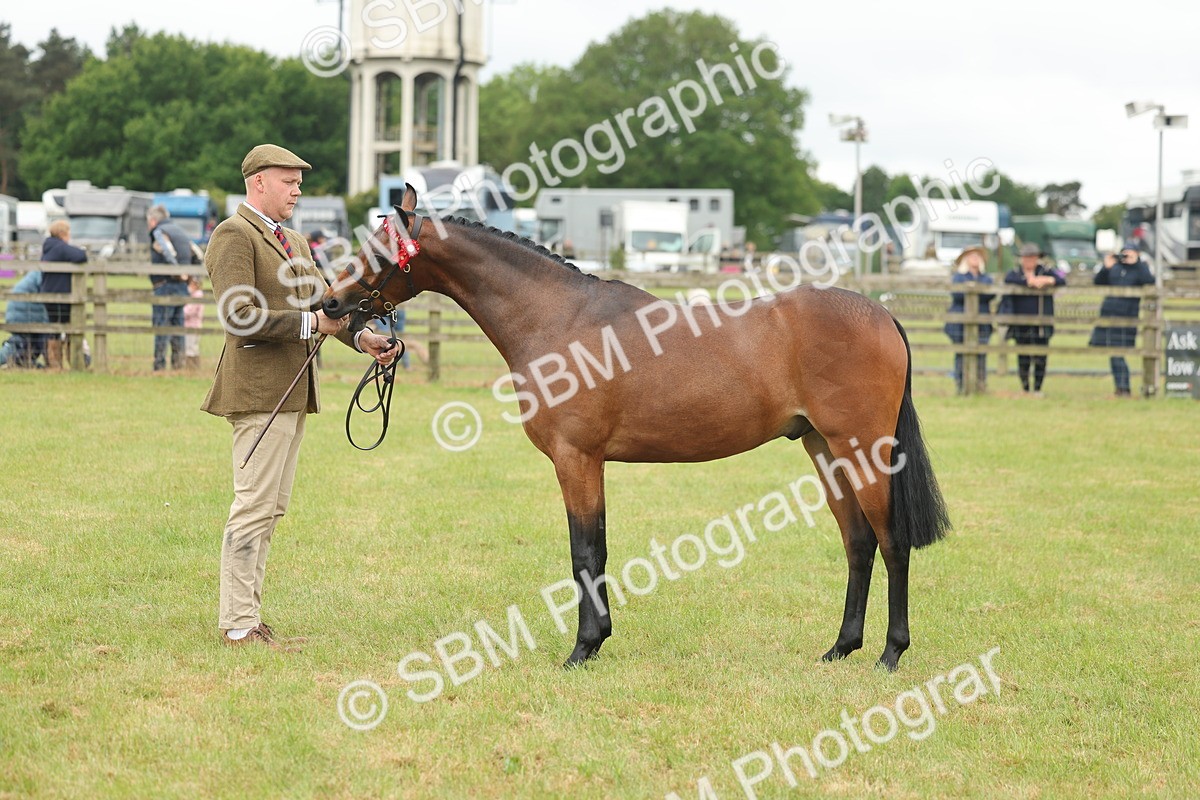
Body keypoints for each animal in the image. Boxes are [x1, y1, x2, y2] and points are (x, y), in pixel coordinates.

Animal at [321, 185, 951, 671]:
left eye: (379, 249)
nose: (329, 304)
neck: (559, 319)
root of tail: (882, 314)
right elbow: (596, 548)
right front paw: (597, 641)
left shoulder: (576, 457)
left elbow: (585, 550)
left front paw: (582, 649)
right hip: (825, 449)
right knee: (858, 543)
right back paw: (841, 648)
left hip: (864, 449)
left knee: (892, 543)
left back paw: (890, 654)